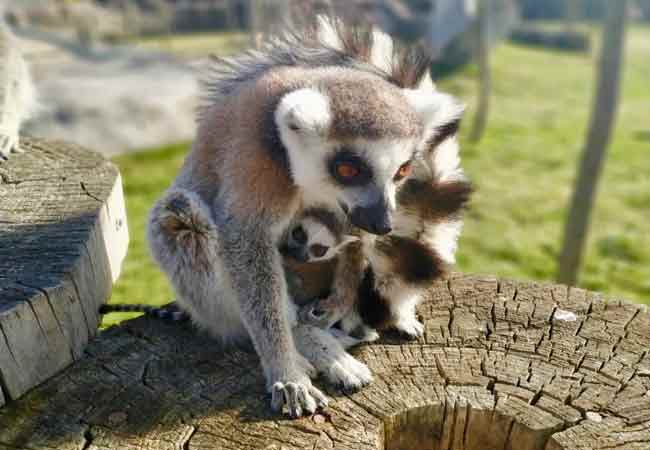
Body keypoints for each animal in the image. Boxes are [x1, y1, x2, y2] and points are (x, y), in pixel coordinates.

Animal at [147, 16, 465, 417]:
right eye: (348, 169)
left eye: (403, 170)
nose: (382, 223)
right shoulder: (257, 165)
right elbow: (245, 245)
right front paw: (286, 370)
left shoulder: (357, 212)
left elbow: (355, 240)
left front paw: (341, 302)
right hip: (209, 298)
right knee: (182, 217)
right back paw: (313, 345)